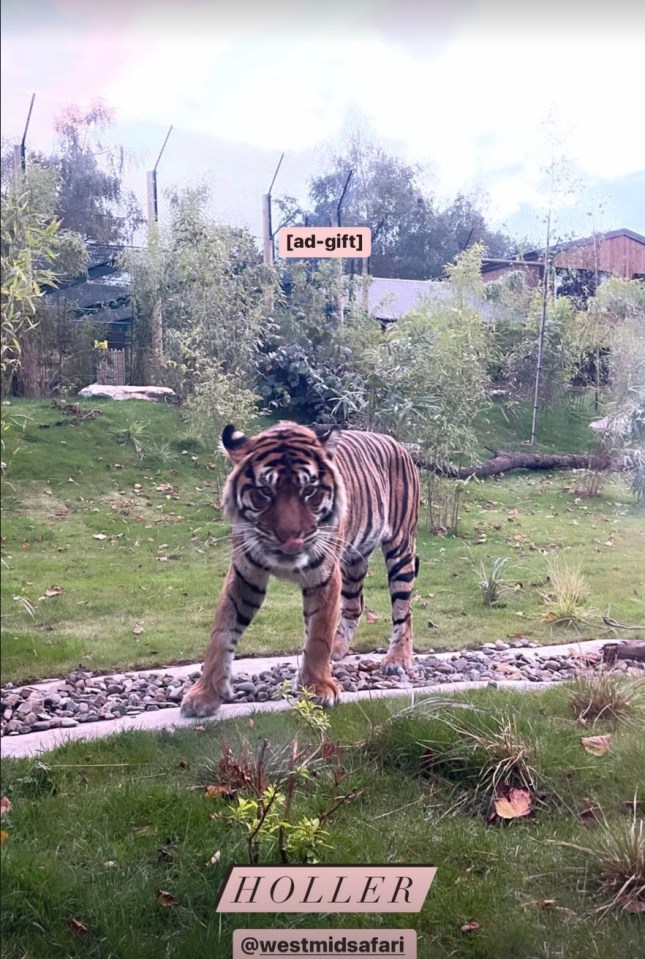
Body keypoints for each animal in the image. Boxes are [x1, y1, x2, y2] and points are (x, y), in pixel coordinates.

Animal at [181, 424, 420, 716]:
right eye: (264, 491)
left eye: (309, 491)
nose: (290, 540)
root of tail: (395, 442)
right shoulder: (244, 574)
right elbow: (221, 632)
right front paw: (205, 694)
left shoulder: (324, 576)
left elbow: (318, 634)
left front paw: (318, 688)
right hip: (354, 559)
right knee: (355, 604)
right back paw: (338, 649)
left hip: (400, 547)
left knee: (404, 608)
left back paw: (398, 659)